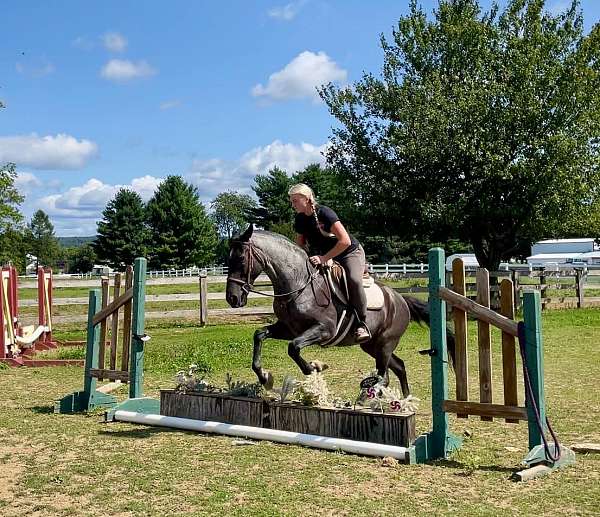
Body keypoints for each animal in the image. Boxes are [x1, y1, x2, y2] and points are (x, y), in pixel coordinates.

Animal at [225, 223, 454, 396]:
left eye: (241, 259)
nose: (232, 298)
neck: (299, 284)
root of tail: (400, 299)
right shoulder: (288, 328)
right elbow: (260, 335)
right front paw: (264, 376)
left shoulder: (324, 330)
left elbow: (294, 347)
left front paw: (313, 369)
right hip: (372, 345)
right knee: (398, 366)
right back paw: (405, 399)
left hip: (385, 343)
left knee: (384, 375)